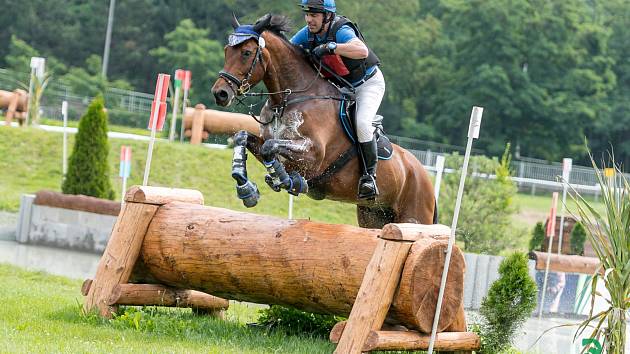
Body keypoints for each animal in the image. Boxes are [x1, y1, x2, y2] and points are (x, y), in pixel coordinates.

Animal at [211, 13, 434, 228]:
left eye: (246, 53)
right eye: (226, 51)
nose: (220, 93)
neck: (287, 100)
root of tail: (423, 174)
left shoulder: (314, 155)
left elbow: (270, 147)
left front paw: (287, 180)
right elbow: (244, 137)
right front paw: (246, 188)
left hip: (413, 215)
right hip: (373, 216)